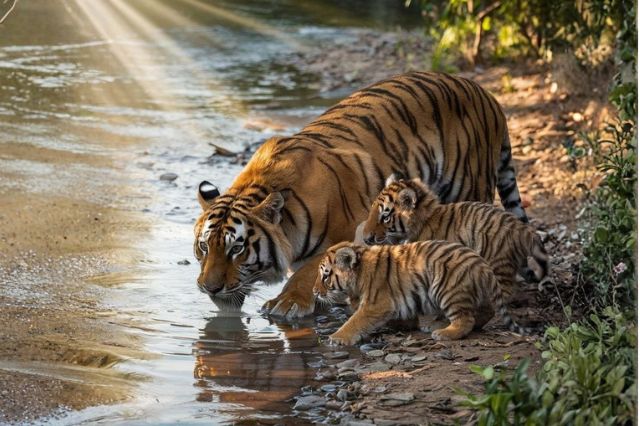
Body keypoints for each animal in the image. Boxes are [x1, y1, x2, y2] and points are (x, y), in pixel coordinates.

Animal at [193, 71, 529, 318]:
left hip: (470, 190)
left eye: (237, 249)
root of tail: (487, 94)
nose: (210, 288)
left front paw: (288, 303)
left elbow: (309, 271)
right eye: (204, 247)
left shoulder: (346, 232)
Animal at [313, 241, 528, 345]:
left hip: (447, 289)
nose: (314, 292)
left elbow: (355, 321)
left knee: (466, 319)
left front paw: (337, 337)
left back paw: (444, 332)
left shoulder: (376, 304)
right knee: (485, 312)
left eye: (325, 276)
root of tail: (483, 266)